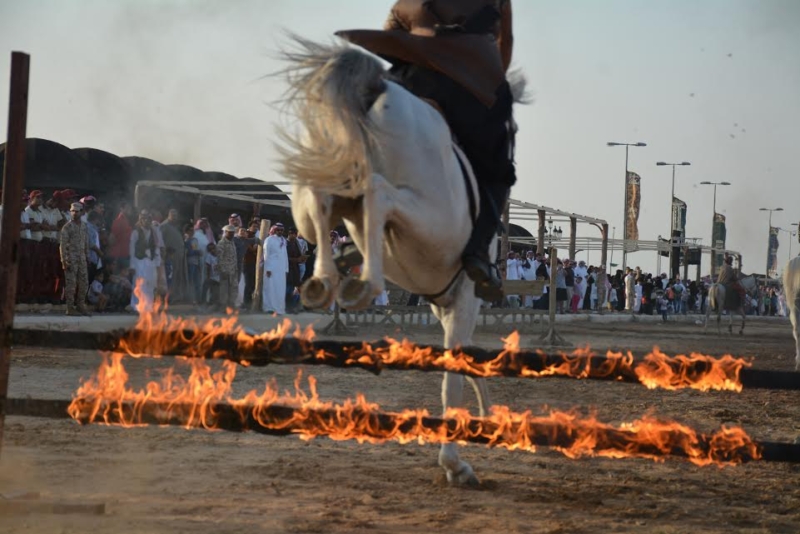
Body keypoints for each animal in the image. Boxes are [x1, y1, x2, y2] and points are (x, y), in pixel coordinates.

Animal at [278, 37, 528, 488]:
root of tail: (376, 88)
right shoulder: (464, 298)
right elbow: (453, 374)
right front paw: (456, 462)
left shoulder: (448, 304)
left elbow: (463, 362)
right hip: (426, 218)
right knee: (377, 194)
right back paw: (362, 284)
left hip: (317, 184)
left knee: (324, 197)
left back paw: (326, 279)